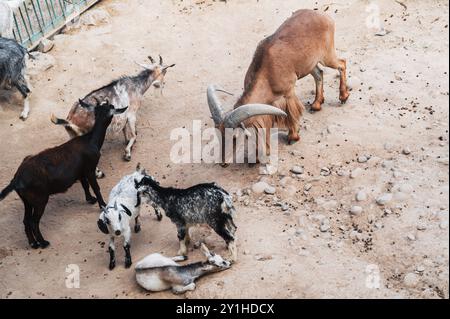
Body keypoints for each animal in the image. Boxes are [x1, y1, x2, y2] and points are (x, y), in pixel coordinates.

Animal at [0, 99, 126, 249]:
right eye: (110, 109)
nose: (111, 104)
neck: (90, 140)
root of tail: (17, 179)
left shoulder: (81, 172)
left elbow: (85, 186)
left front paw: (90, 199)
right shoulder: (89, 169)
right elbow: (96, 187)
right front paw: (102, 204)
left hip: (27, 200)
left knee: (26, 220)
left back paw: (33, 243)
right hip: (40, 200)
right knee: (33, 221)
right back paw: (43, 242)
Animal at [208, 9, 352, 159]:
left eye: (235, 137)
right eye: (218, 132)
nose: (223, 161)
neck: (267, 71)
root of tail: (324, 16)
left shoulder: (288, 92)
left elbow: (291, 113)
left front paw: (292, 137)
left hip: (327, 55)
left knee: (342, 64)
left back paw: (343, 97)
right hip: (309, 63)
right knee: (319, 73)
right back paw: (316, 104)